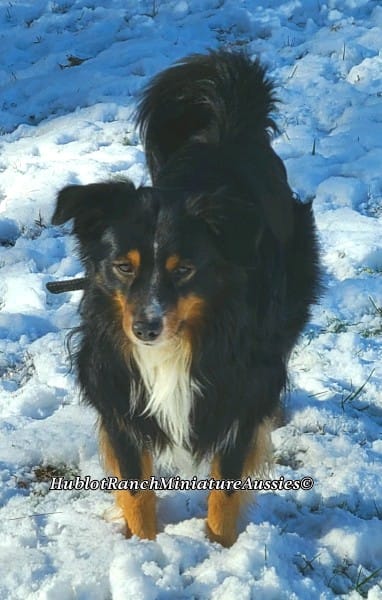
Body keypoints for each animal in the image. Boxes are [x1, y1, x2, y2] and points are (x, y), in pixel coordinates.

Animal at [50, 51, 320, 548]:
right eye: (123, 266)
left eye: (184, 270)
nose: (145, 328)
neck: (179, 344)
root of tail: (227, 126)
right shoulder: (117, 392)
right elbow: (136, 488)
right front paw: (145, 549)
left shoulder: (238, 392)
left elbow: (226, 488)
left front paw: (220, 549)